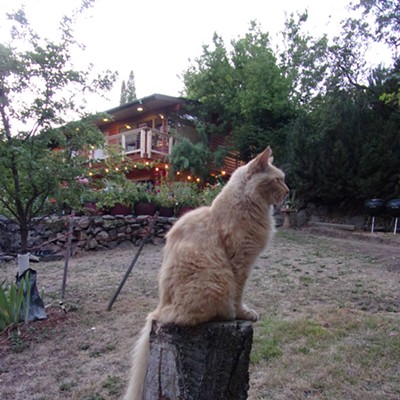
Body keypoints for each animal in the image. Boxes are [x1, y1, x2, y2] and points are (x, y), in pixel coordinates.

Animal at [123, 147, 290, 400]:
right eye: (278, 180)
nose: (288, 191)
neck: (248, 204)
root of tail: (160, 308)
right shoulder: (240, 262)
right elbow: (239, 295)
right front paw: (243, 313)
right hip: (216, 282)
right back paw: (227, 315)